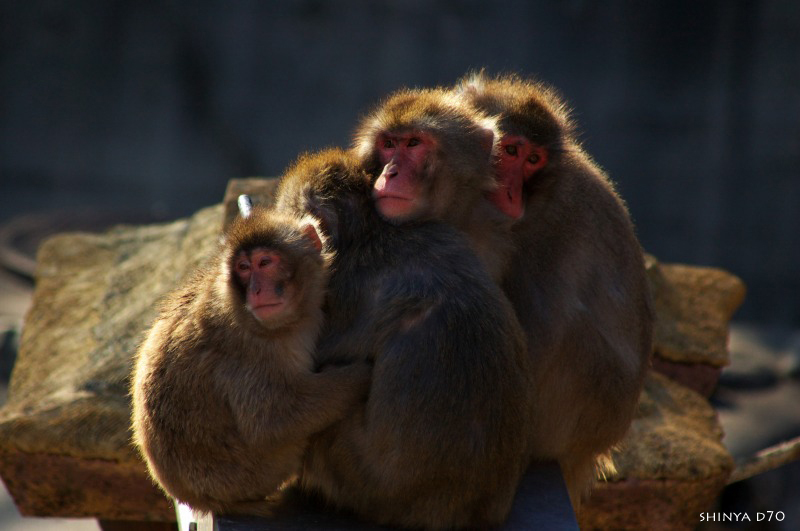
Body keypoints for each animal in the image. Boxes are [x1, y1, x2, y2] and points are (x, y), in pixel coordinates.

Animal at [130, 203, 368, 516]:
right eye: (243, 268)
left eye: (264, 262)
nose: (255, 290)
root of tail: (194, 497)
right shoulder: (249, 352)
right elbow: (271, 421)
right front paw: (359, 377)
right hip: (251, 472)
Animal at [454, 72, 652, 504]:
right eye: (510, 149)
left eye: (533, 161)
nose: (511, 193)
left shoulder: (547, 235)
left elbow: (536, 338)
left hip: (580, 409)